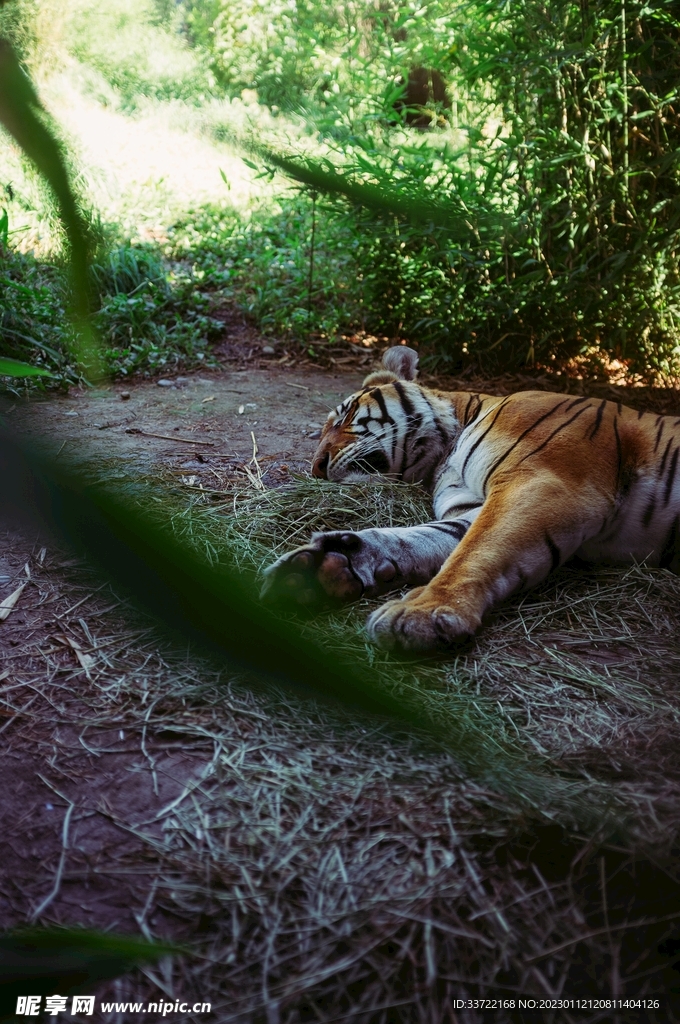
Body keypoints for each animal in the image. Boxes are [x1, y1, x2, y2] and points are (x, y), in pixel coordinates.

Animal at [261, 346, 680, 651]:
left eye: (344, 416)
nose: (316, 468)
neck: (442, 457)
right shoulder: (470, 509)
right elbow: (419, 539)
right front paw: (324, 567)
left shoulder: (546, 481)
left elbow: (475, 552)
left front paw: (421, 612)